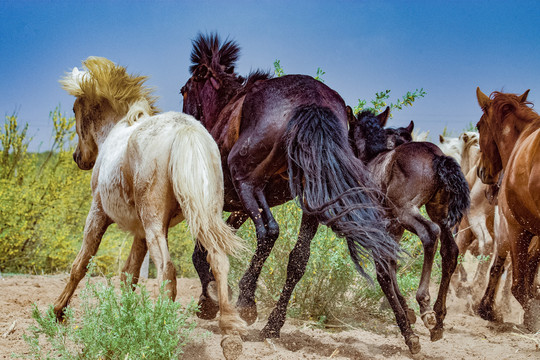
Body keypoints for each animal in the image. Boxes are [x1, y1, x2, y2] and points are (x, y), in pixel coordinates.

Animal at [56, 56, 246, 358]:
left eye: (75, 108)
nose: (78, 158)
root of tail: (186, 131)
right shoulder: (140, 233)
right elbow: (129, 275)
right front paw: (124, 319)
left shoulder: (98, 213)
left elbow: (82, 262)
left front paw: (58, 311)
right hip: (204, 218)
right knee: (218, 260)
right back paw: (230, 335)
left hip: (154, 221)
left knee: (167, 269)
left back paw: (160, 328)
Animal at [179, 34, 428, 354]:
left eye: (185, 89)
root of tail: (311, 102)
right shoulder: (238, 207)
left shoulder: (225, 200)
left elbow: (205, 249)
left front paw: (209, 300)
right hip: (309, 201)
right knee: (298, 259)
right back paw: (273, 325)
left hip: (247, 181)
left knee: (269, 232)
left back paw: (248, 303)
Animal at [348, 109, 470, 340]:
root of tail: (437, 157)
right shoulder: (394, 227)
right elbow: (392, 262)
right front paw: (407, 311)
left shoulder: (385, 223)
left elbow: (385, 266)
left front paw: (408, 315)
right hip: (438, 212)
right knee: (450, 250)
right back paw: (438, 320)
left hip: (407, 210)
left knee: (429, 233)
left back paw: (425, 305)